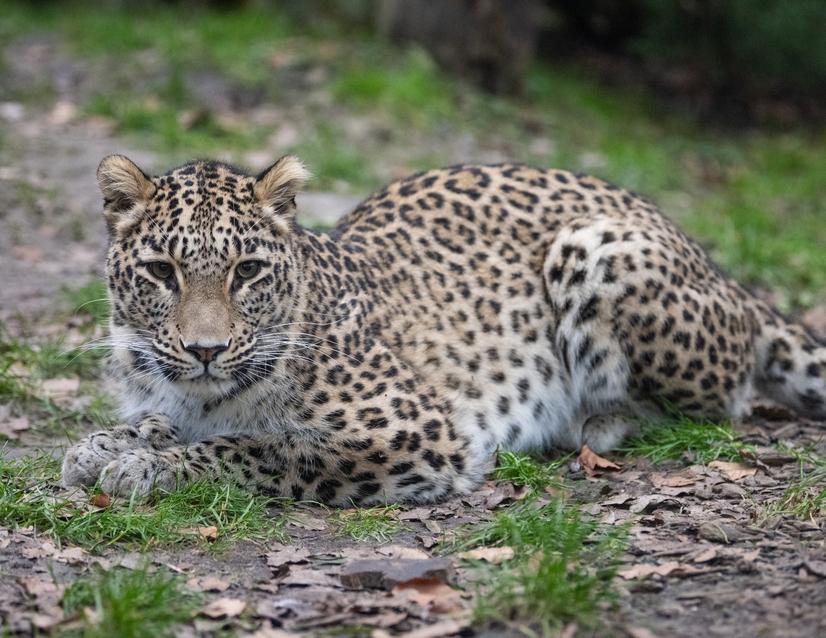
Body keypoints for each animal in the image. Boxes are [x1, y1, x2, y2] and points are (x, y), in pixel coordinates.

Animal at [61, 154, 826, 505]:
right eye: (162, 272)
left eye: (246, 271)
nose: (206, 350)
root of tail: (720, 270)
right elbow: (162, 424)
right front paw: (105, 445)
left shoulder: (412, 430)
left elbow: (255, 449)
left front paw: (149, 465)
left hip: (594, 249)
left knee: (709, 406)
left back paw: (585, 427)